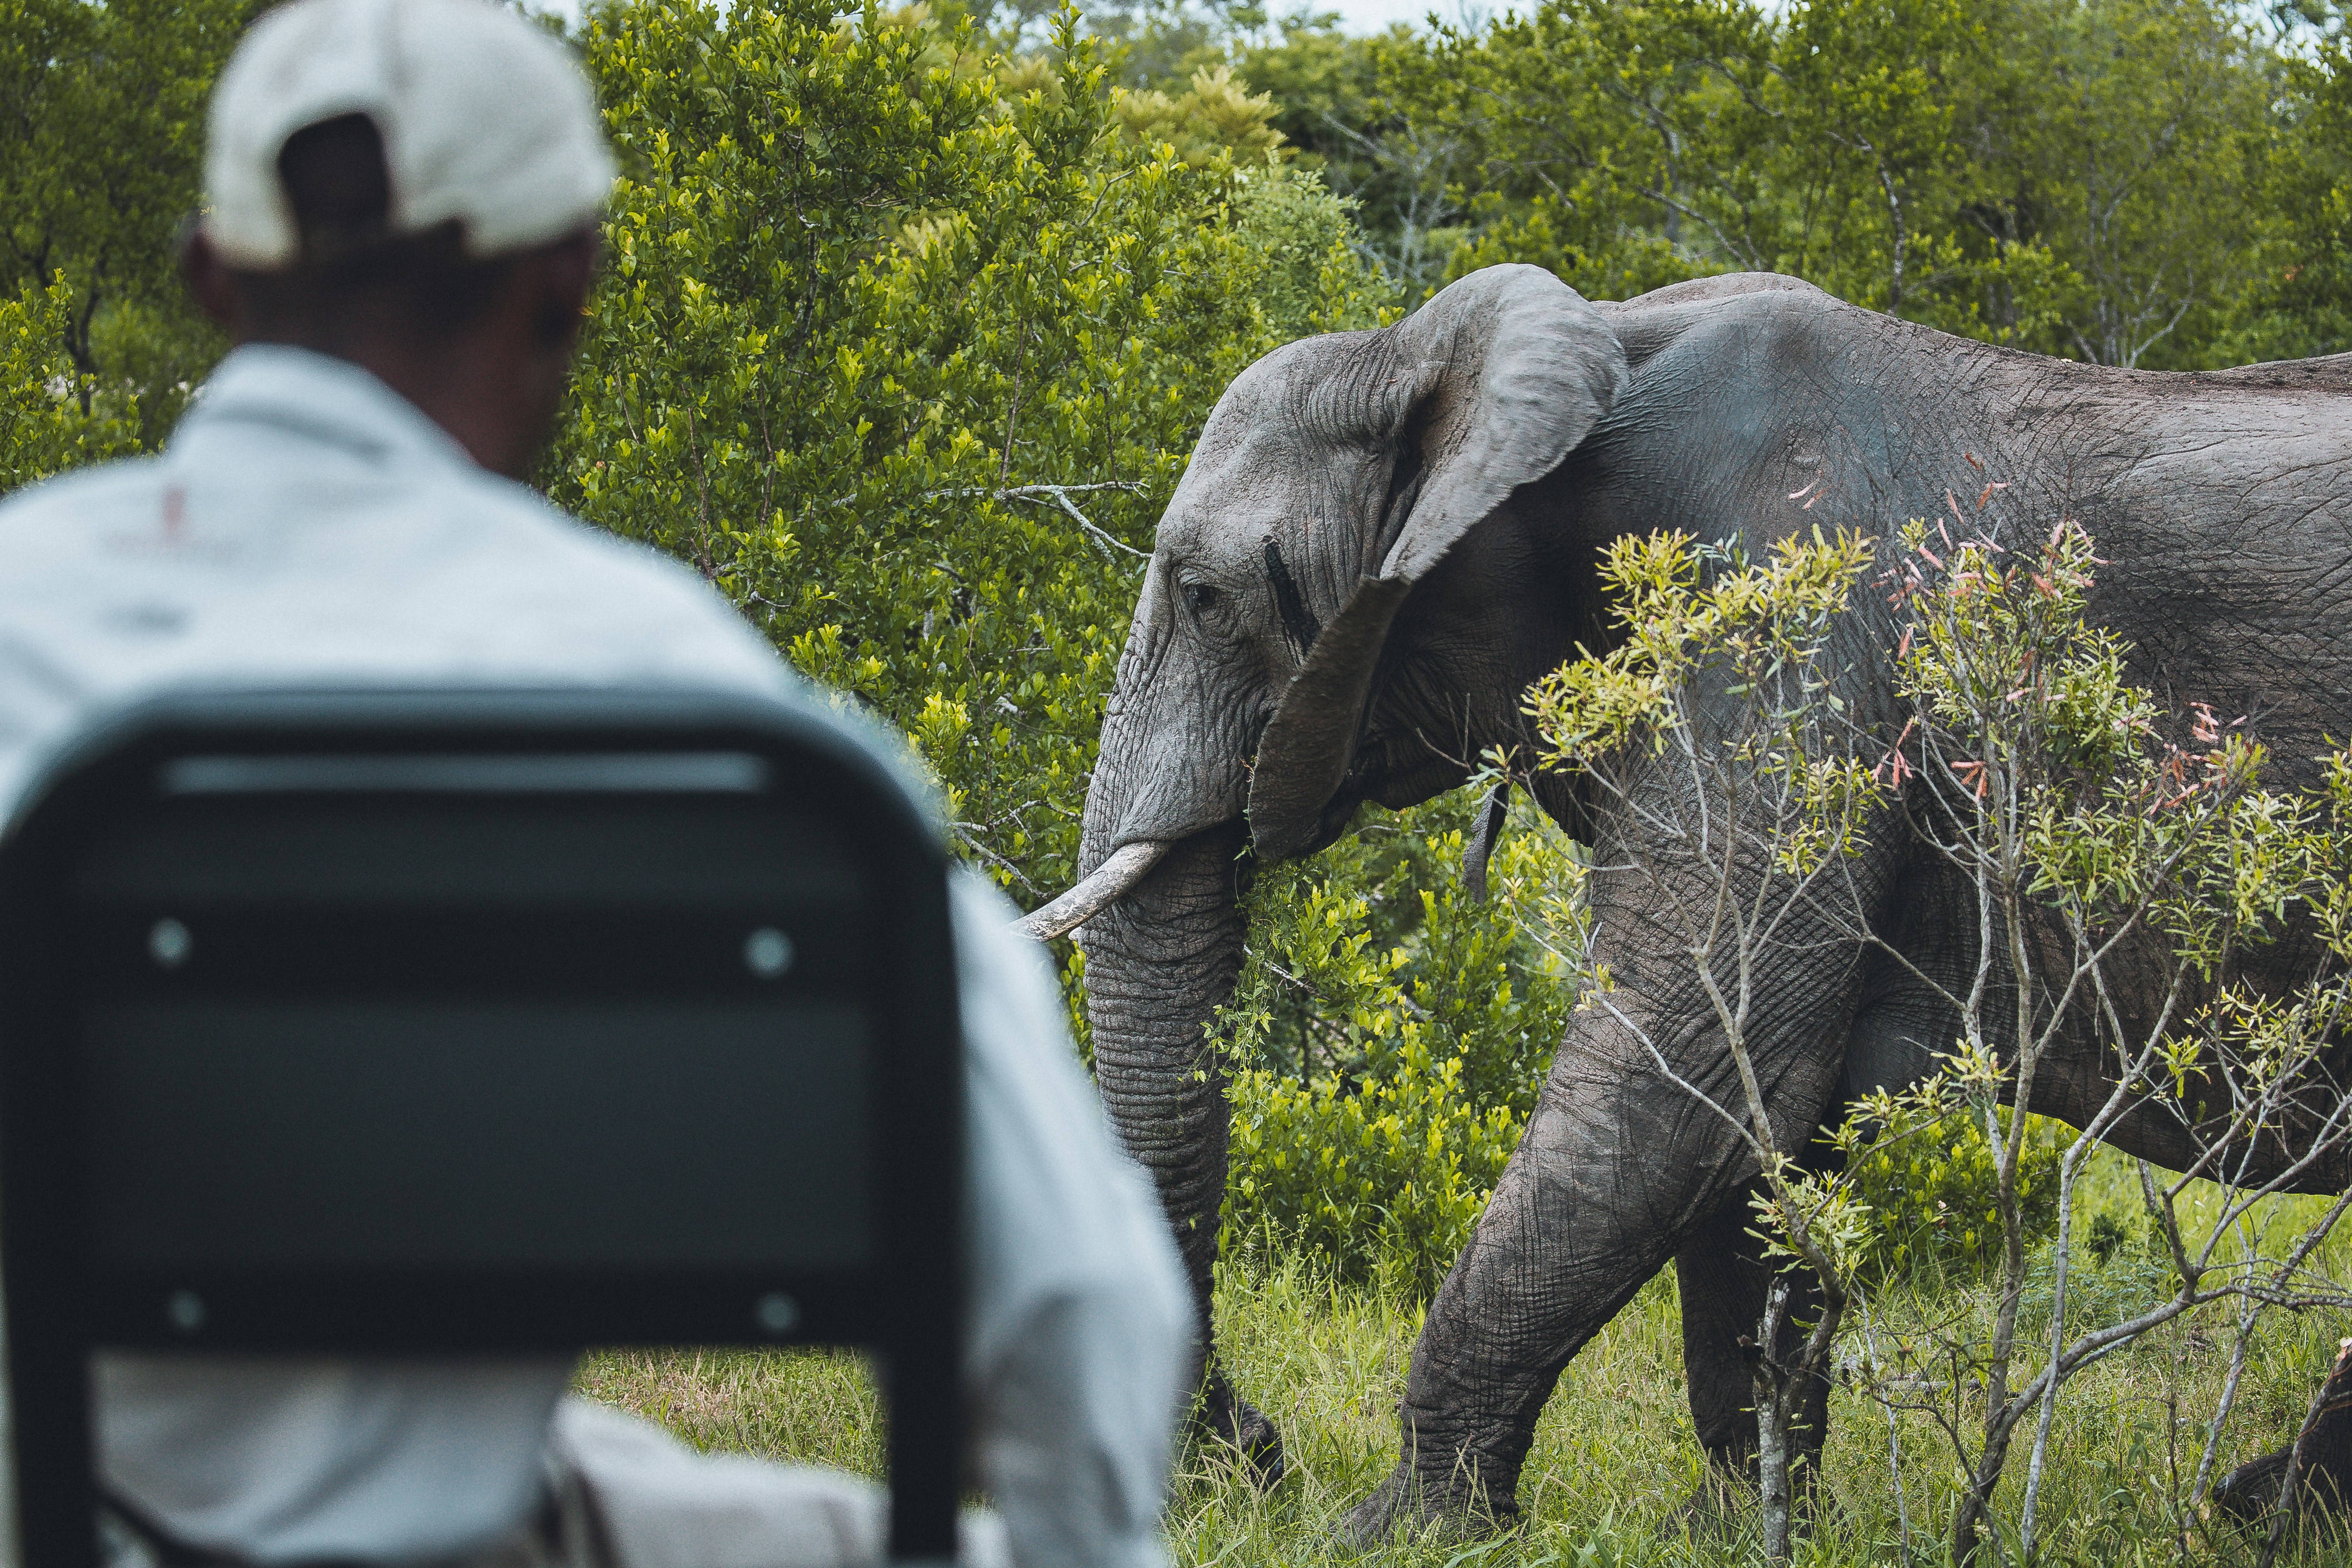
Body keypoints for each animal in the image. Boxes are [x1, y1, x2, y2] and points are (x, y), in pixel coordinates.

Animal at [1026, 262, 2352, 1530]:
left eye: (1204, 596)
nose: (1254, 1456)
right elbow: (1761, 1129)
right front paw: (1732, 1525)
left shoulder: (1782, 641)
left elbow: (1690, 1074)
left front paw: (1398, 1528)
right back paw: (2266, 1510)